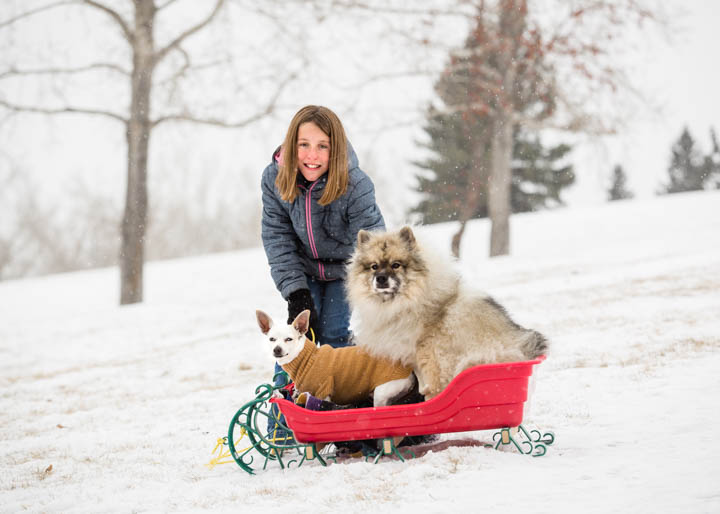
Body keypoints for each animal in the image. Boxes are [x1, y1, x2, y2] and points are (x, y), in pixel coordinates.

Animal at [258, 306, 416, 406]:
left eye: (289, 339)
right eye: (272, 339)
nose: (277, 350)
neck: (306, 358)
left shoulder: (323, 393)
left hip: (382, 393)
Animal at [346, 226, 548, 398]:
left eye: (396, 265)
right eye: (373, 266)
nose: (380, 278)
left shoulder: (432, 359)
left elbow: (432, 390)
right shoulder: (415, 359)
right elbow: (423, 386)